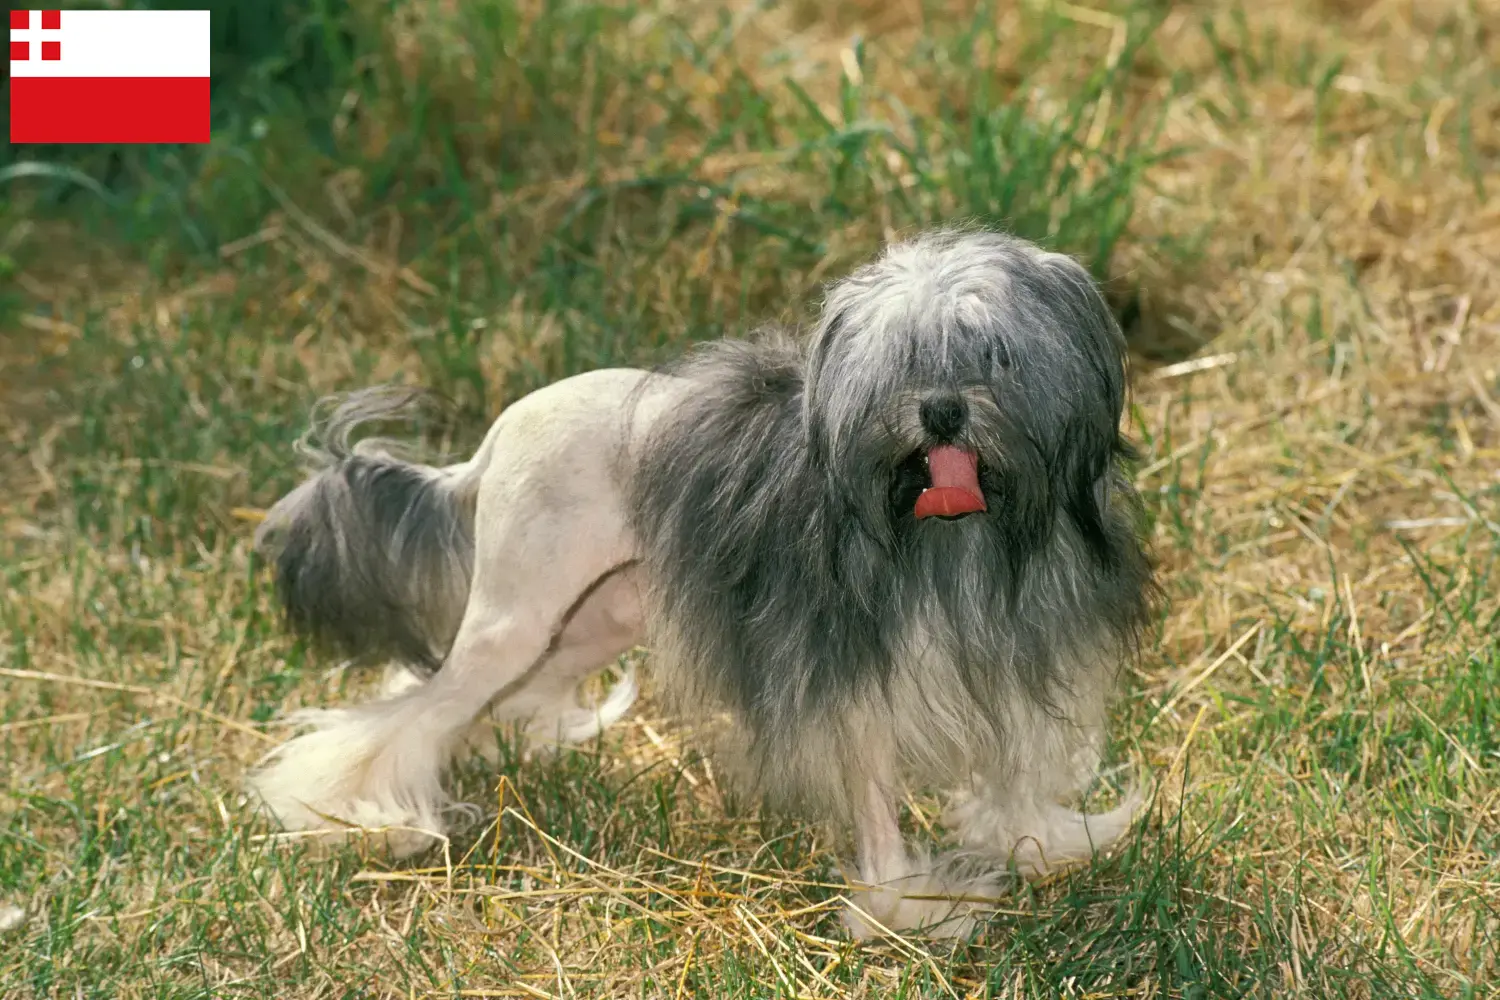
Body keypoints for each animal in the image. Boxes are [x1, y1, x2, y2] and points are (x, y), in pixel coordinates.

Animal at [247, 227, 1157, 939]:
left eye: (993, 355)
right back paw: (356, 812)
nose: (941, 412)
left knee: (477, 699)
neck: (957, 535)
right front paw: (909, 905)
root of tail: (491, 441)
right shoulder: (848, 687)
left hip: (596, 617)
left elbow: (1017, 768)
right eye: (898, 362)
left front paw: (1039, 840)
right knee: (412, 708)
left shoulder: (1019, 659)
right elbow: (875, 807)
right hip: (517, 615)